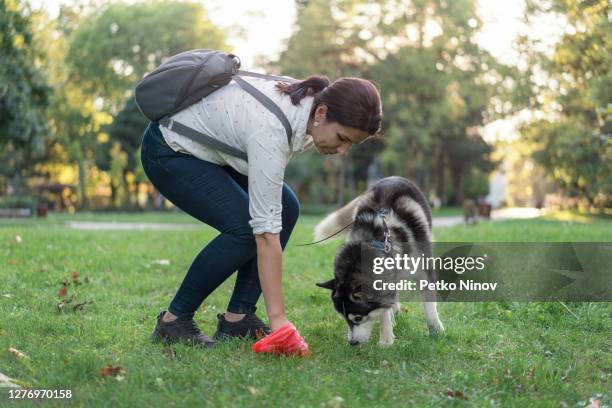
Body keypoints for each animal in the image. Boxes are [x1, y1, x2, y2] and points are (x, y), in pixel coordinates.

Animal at [316, 177, 444, 346]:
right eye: (344, 318)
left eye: (358, 318)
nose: (352, 343)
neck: (377, 241)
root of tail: (392, 177)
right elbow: (383, 309)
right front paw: (386, 339)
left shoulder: (424, 271)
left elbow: (429, 305)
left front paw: (435, 329)